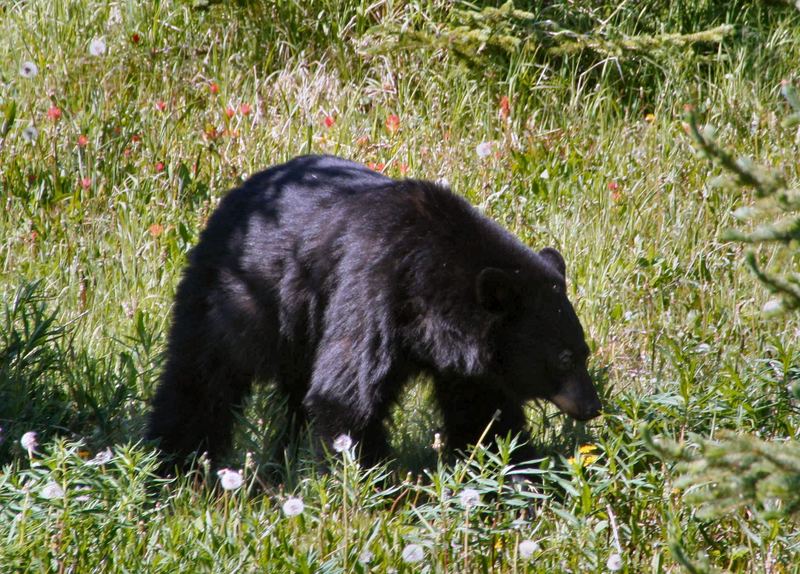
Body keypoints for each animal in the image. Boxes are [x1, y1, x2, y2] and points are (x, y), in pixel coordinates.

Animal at [145, 155, 600, 470]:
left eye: (584, 352)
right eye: (563, 357)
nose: (593, 405)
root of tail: (237, 194)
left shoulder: (465, 358)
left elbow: (482, 412)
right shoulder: (374, 288)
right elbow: (346, 392)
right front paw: (373, 483)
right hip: (237, 295)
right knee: (201, 376)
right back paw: (173, 462)